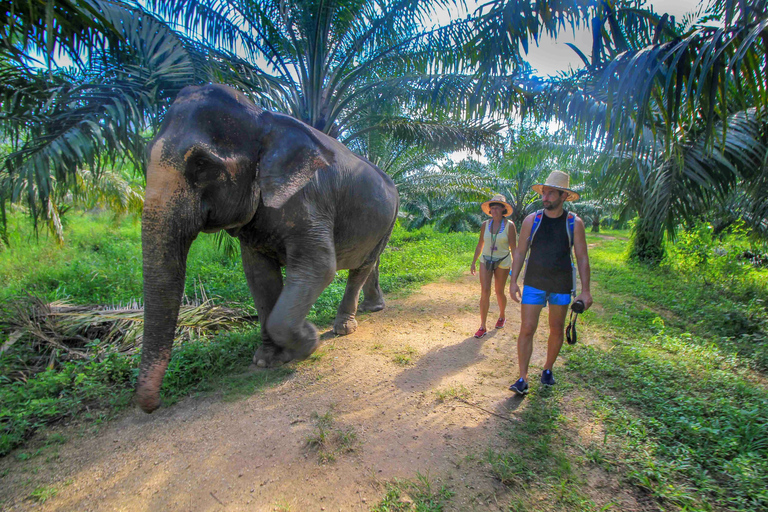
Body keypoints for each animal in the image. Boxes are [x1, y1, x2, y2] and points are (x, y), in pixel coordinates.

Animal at [137, 84, 400, 412]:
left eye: (201, 164)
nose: (153, 405)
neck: (263, 117)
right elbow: (258, 276)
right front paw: (266, 360)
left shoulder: (310, 200)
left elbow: (319, 267)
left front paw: (308, 340)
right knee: (371, 262)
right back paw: (371, 308)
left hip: (389, 218)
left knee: (362, 266)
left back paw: (344, 327)